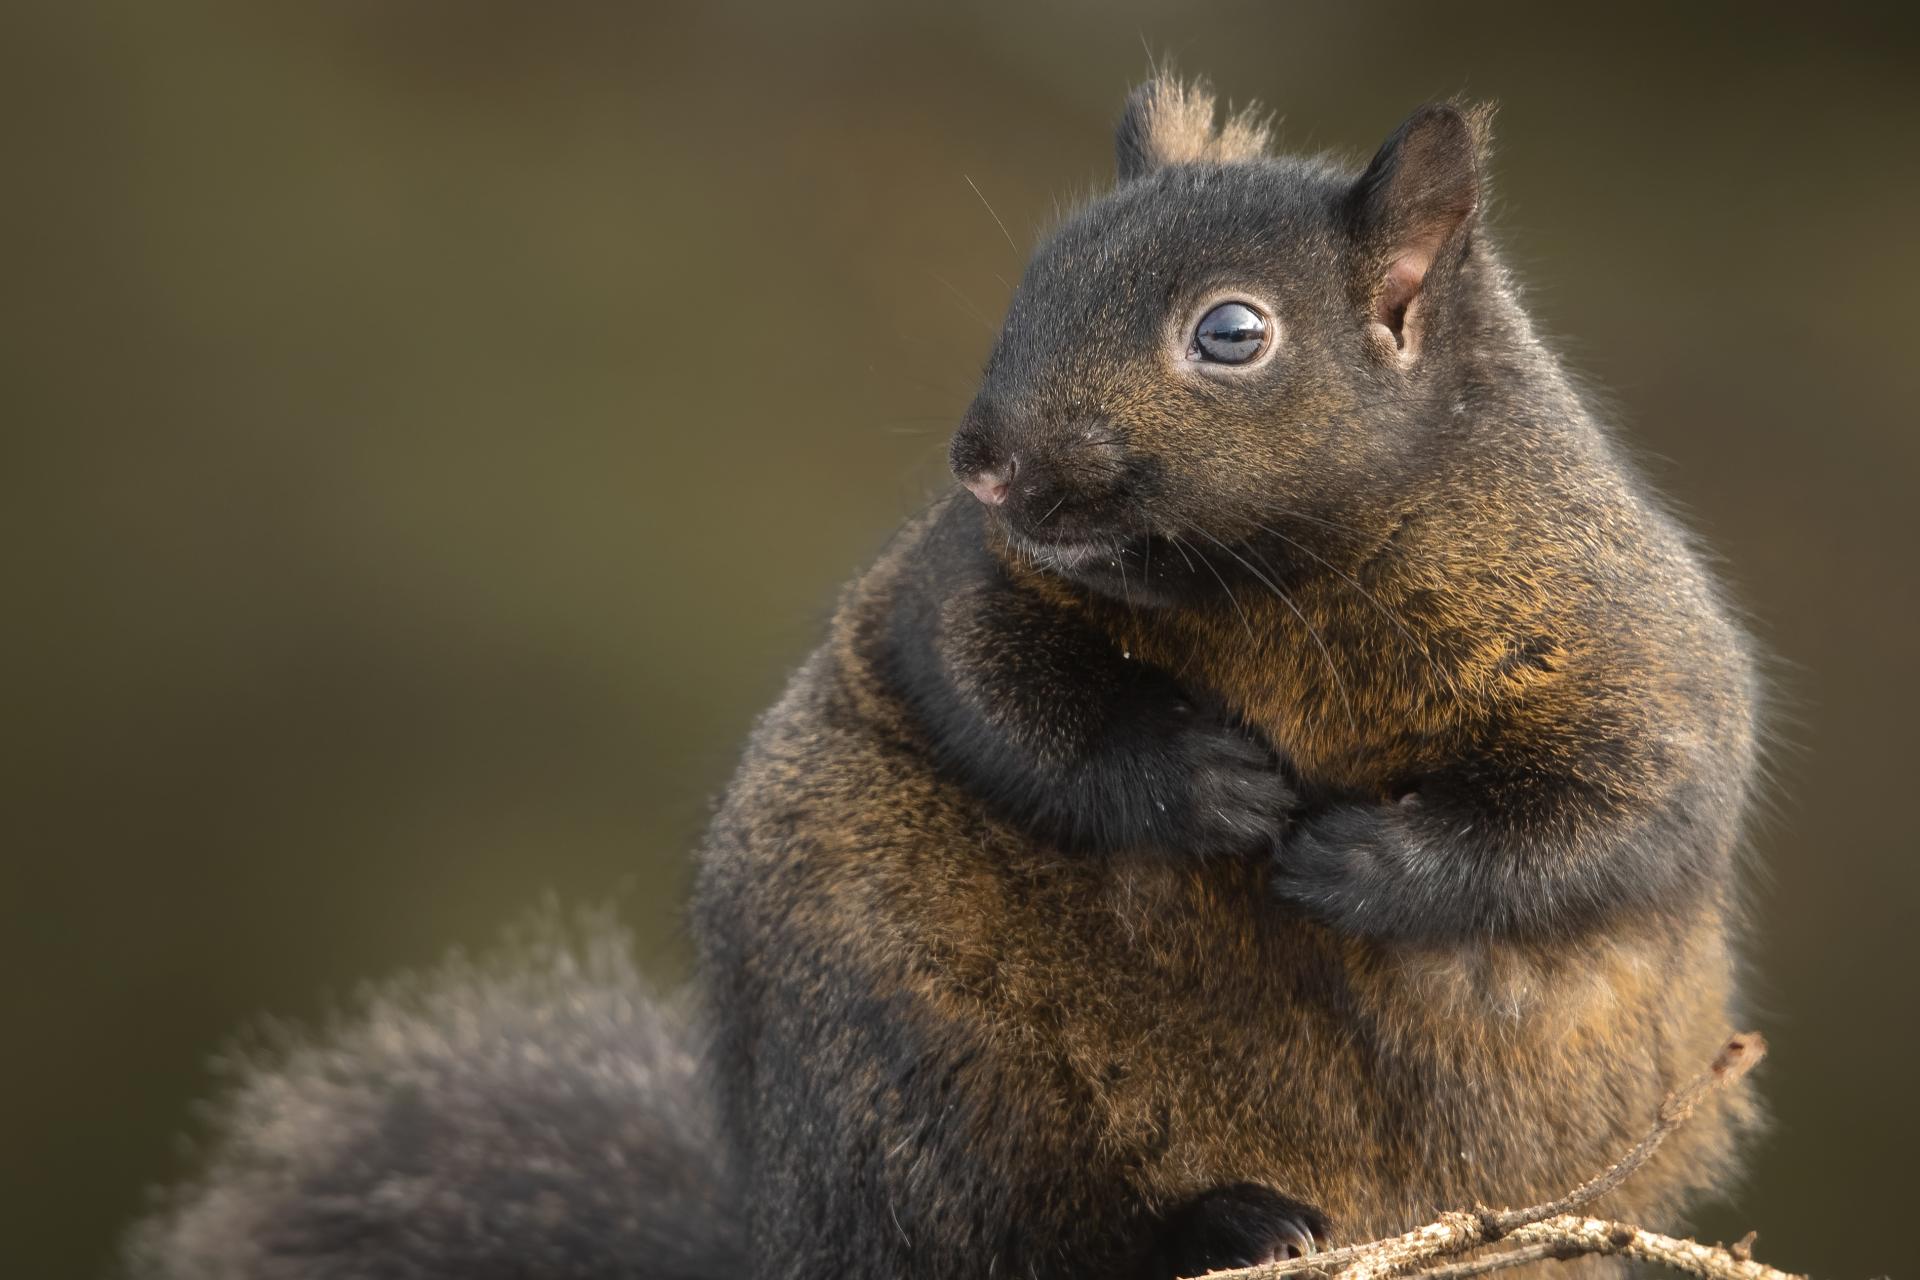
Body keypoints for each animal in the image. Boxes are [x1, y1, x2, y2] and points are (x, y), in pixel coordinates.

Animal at [128, 75, 1762, 1280]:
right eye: (1035, 277)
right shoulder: (959, 582)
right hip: (914, 1075)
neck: (1272, 575)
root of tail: (772, 1229)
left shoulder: (1631, 650)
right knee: (1015, 1236)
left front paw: (1354, 857)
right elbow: (990, 688)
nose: (983, 457)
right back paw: (1219, 1219)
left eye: (1233, 332)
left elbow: (1617, 815)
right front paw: (1206, 783)